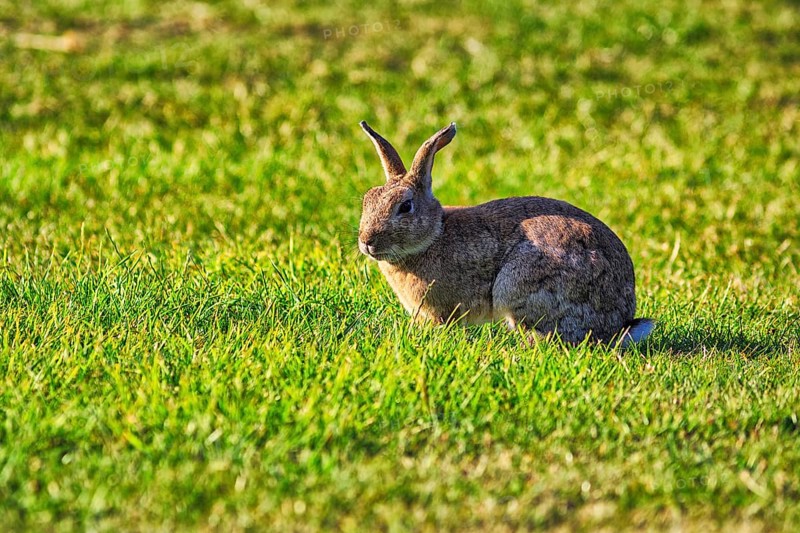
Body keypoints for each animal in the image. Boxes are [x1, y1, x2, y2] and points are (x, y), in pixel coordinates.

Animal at [357, 121, 654, 346]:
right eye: (367, 200)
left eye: (405, 206)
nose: (366, 242)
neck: (433, 235)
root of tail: (618, 323)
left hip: (519, 286)